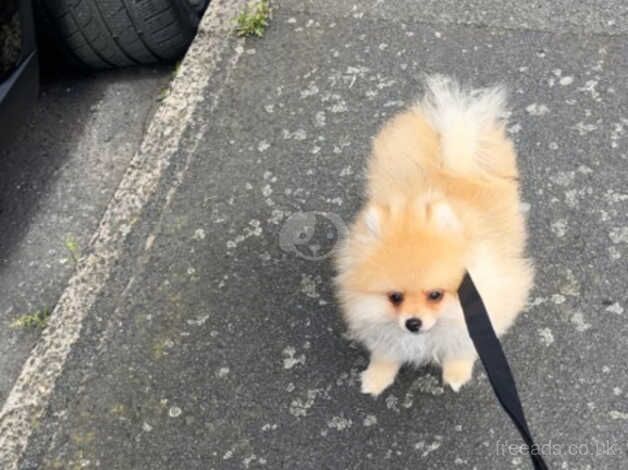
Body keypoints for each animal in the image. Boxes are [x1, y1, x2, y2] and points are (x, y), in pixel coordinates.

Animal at [336, 75, 532, 394]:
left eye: (435, 295)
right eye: (394, 297)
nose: (413, 323)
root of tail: (456, 161)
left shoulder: (483, 307)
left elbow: (463, 346)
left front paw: (456, 372)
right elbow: (386, 350)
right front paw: (377, 377)